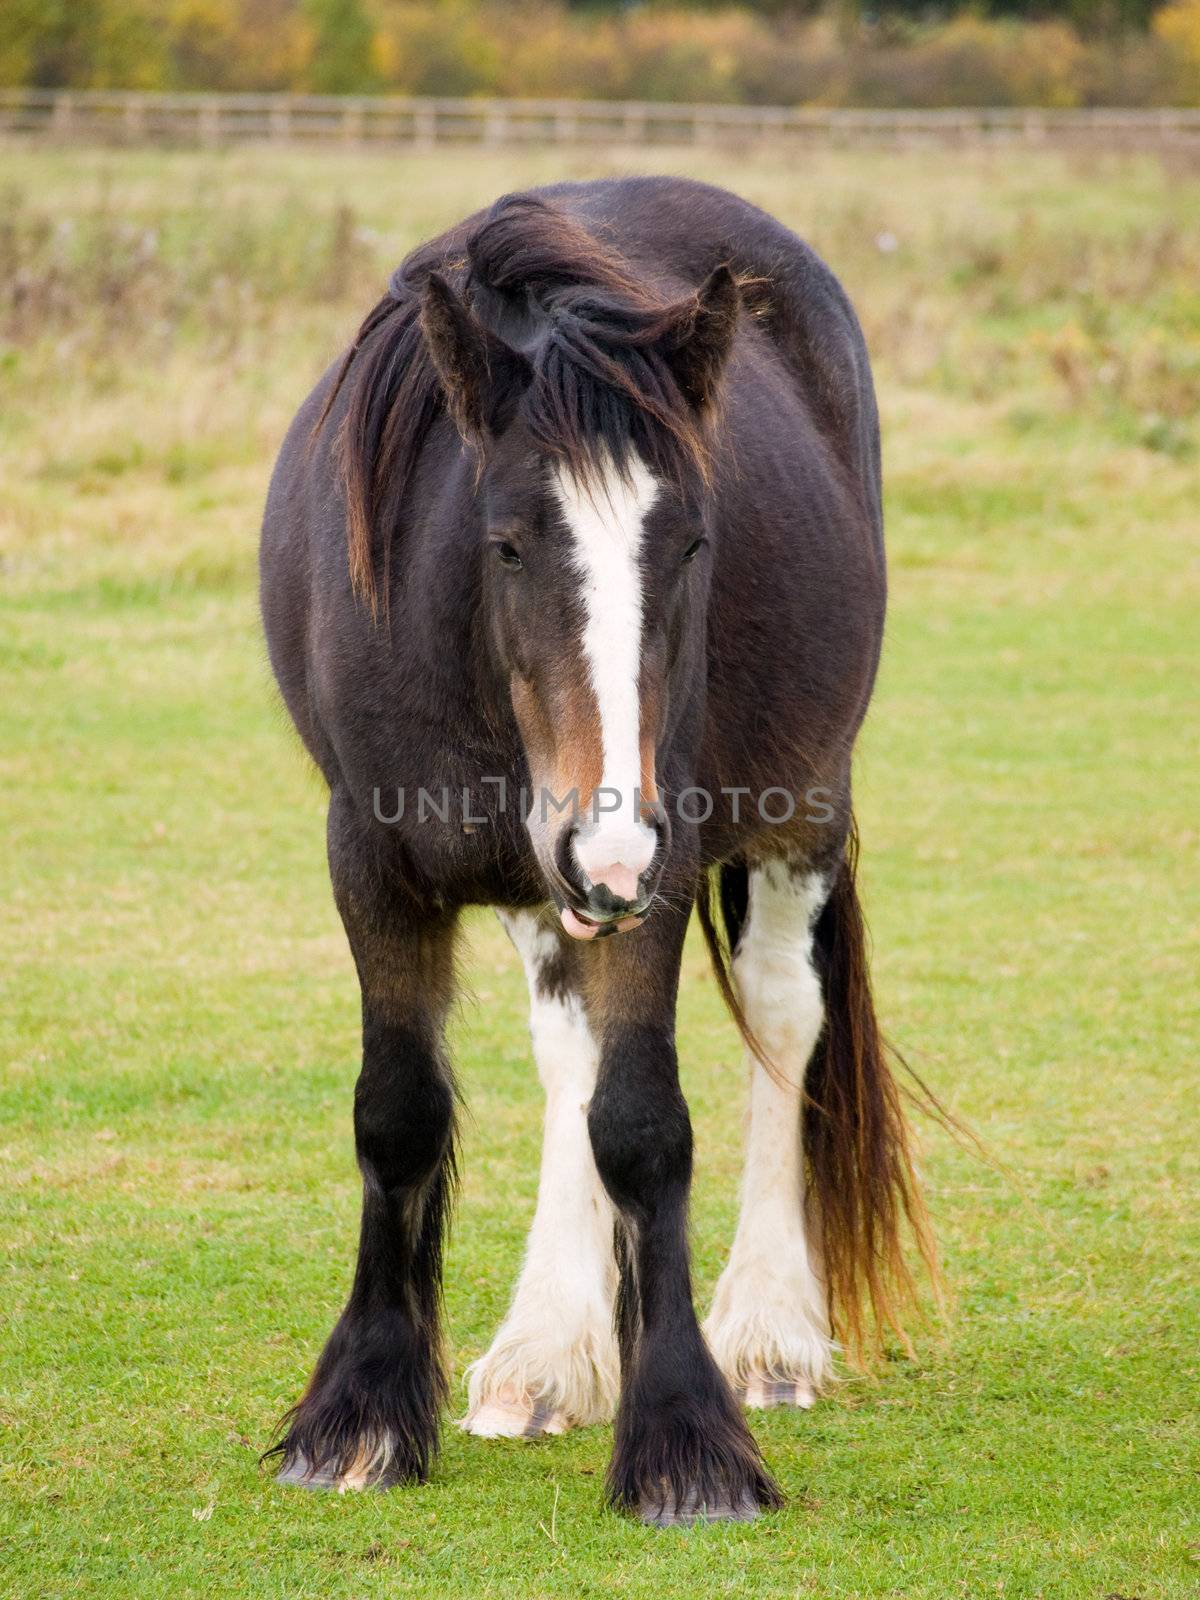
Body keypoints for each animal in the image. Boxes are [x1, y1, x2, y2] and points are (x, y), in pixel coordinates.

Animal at [259, 175, 940, 1523]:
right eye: (508, 540)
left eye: (692, 544)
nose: (606, 839)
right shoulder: (369, 858)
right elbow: (399, 1114)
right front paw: (360, 1414)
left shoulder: (656, 872)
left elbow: (641, 1126)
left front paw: (685, 1437)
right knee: (565, 1050)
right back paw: (544, 1353)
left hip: (790, 810)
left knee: (783, 1015)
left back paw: (771, 1332)